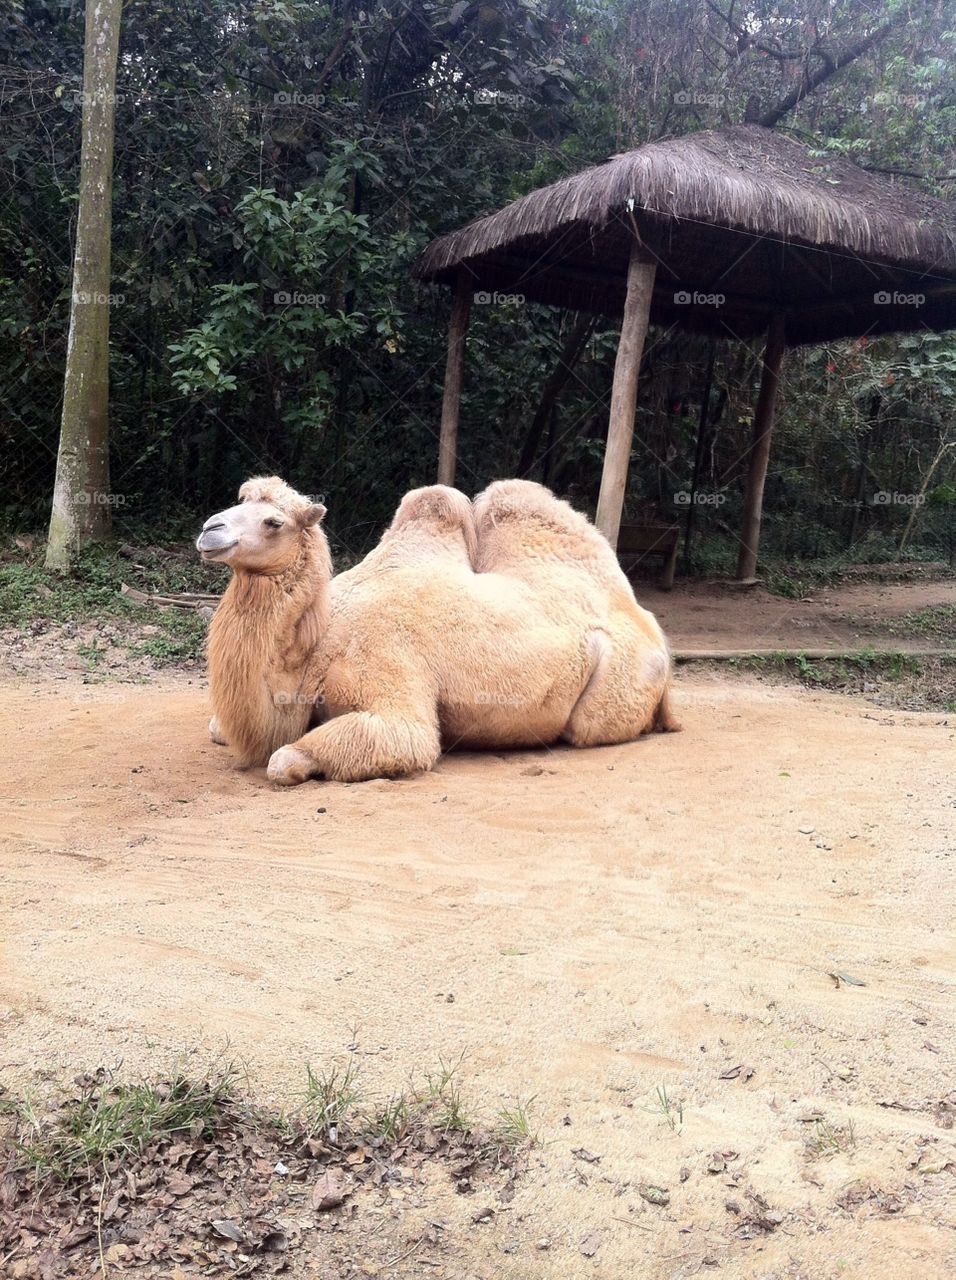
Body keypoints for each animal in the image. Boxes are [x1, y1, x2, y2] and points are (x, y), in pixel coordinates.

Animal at [198, 476, 680, 783]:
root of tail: (651, 627)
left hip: (617, 685)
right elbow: (218, 727)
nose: (208, 530)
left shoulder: (387, 672)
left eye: (274, 522)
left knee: (587, 729)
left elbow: (286, 759)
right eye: (239, 498)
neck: (316, 645)